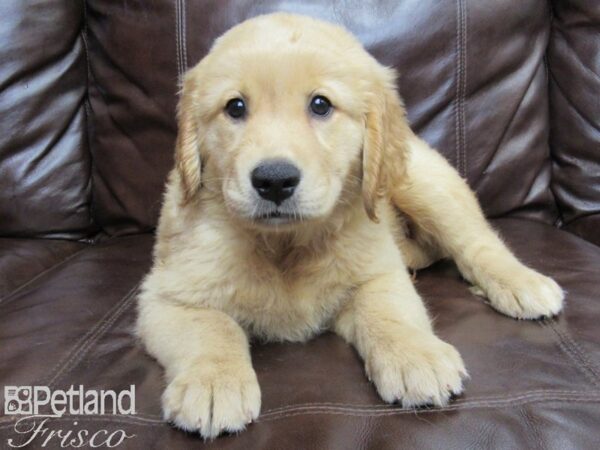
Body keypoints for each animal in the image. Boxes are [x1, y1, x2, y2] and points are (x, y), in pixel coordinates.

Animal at [135, 13, 564, 440]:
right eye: (235, 107)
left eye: (321, 105)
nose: (274, 180)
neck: (285, 246)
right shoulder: (167, 296)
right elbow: (212, 327)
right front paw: (212, 382)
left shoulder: (380, 273)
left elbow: (387, 312)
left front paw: (416, 356)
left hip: (425, 183)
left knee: (476, 242)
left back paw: (522, 284)